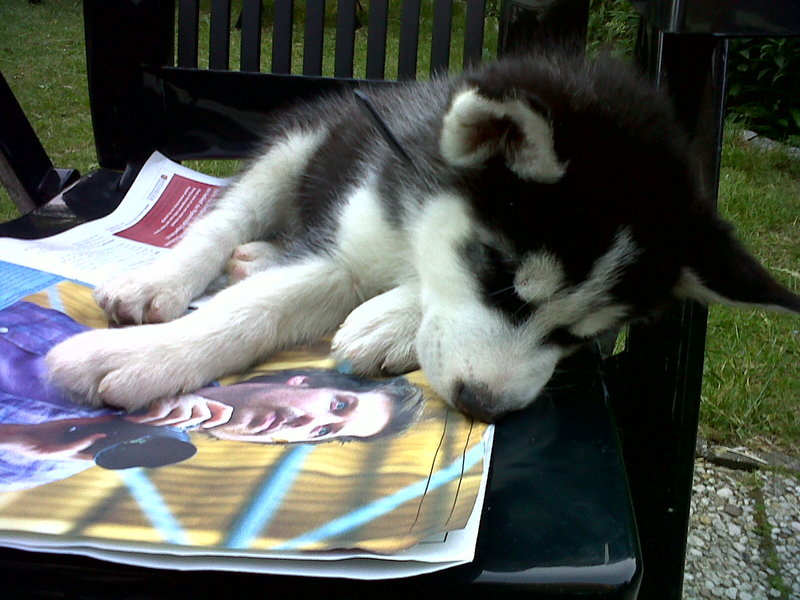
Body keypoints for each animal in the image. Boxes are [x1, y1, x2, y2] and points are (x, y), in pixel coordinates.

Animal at [45, 54, 800, 424]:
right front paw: (145, 356)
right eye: (499, 279)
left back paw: (258, 259)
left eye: (579, 337)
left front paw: (389, 323)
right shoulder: (353, 238)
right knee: (226, 215)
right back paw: (163, 281)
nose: (482, 407)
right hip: (304, 140)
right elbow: (255, 310)